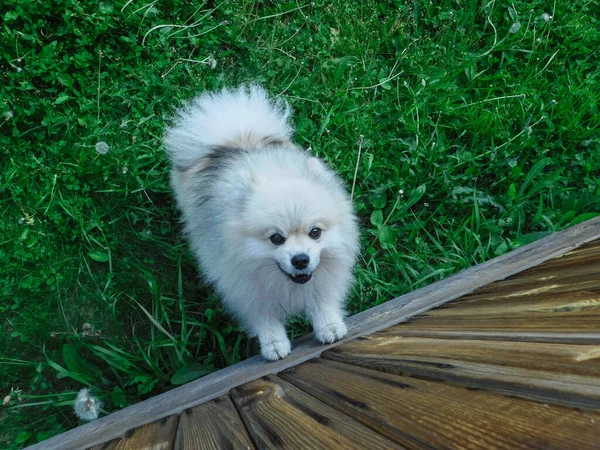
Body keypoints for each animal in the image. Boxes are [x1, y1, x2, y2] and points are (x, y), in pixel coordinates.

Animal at [163, 84, 356, 360]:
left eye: (315, 232)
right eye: (276, 238)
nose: (300, 260)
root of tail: (234, 136)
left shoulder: (325, 277)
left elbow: (323, 300)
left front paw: (329, 326)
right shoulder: (245, 287)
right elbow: (264, 318)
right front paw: (274, 344)